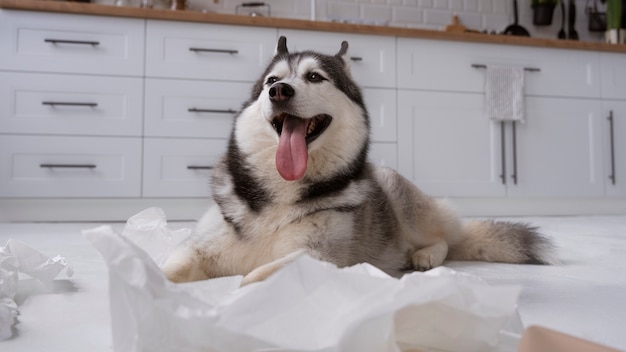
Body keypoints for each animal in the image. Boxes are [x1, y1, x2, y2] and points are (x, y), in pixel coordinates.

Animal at [163, 37, 552, 284]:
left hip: (399, 195)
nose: (279, 91)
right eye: (272, 80)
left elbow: (255, 277)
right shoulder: (199, 247)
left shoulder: (318, 256)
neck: (280, 193)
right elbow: (169, 268)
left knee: (446, 237)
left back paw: (426, 255)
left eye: (314, 77)